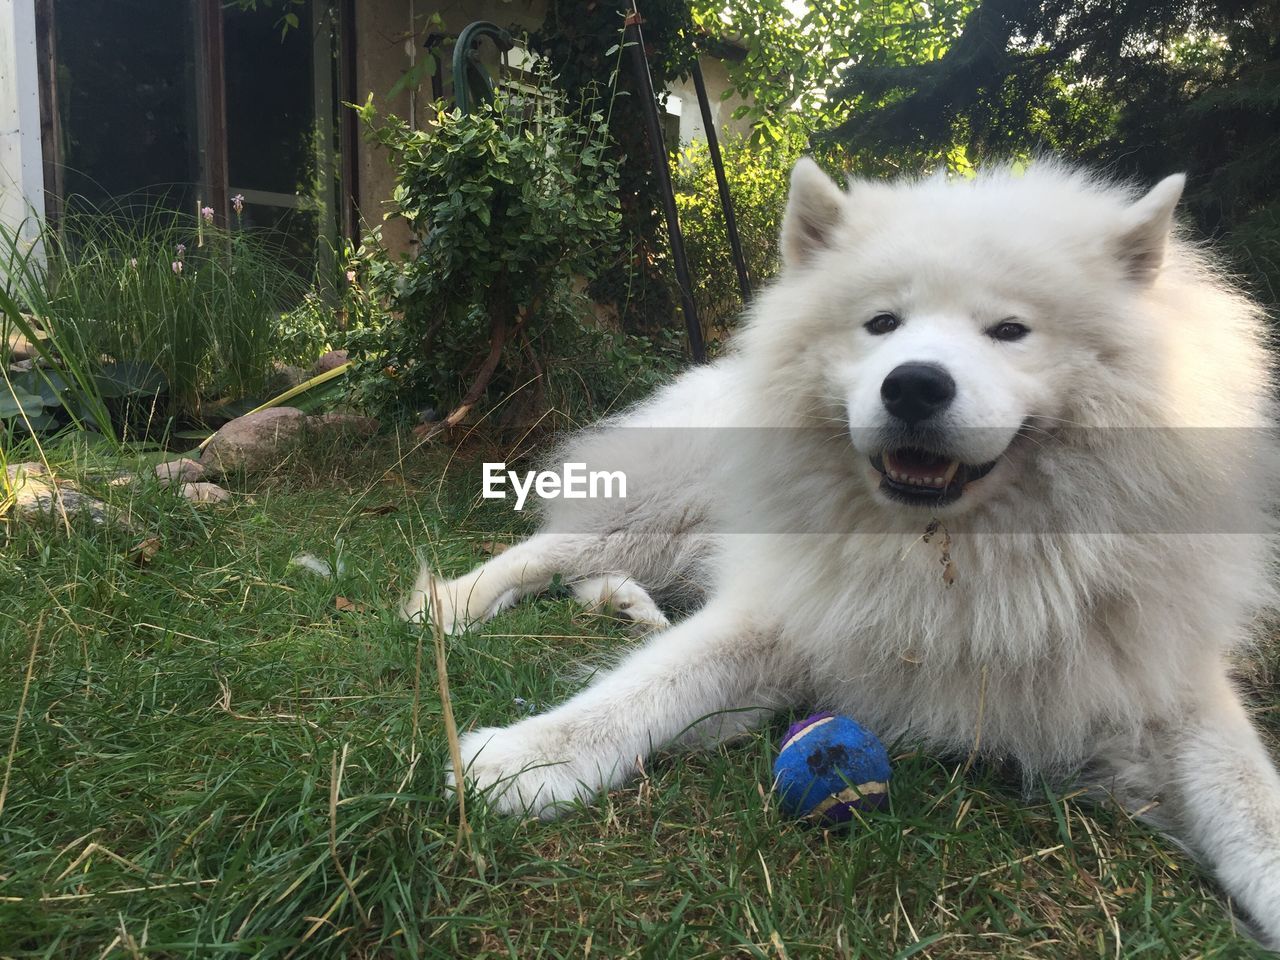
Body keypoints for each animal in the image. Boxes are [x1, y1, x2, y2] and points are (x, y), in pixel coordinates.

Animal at [404, 160, 1280, 947]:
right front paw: (521, 761)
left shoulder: (1161, 679)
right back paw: (451, 606)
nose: (915, 385)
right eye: (882, 323)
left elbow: (1251, 801)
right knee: (545, 552)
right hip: (658, 506)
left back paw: (623, 606)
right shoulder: (784, 612)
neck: (954, 556)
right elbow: (641, 691)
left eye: (1009, 331)